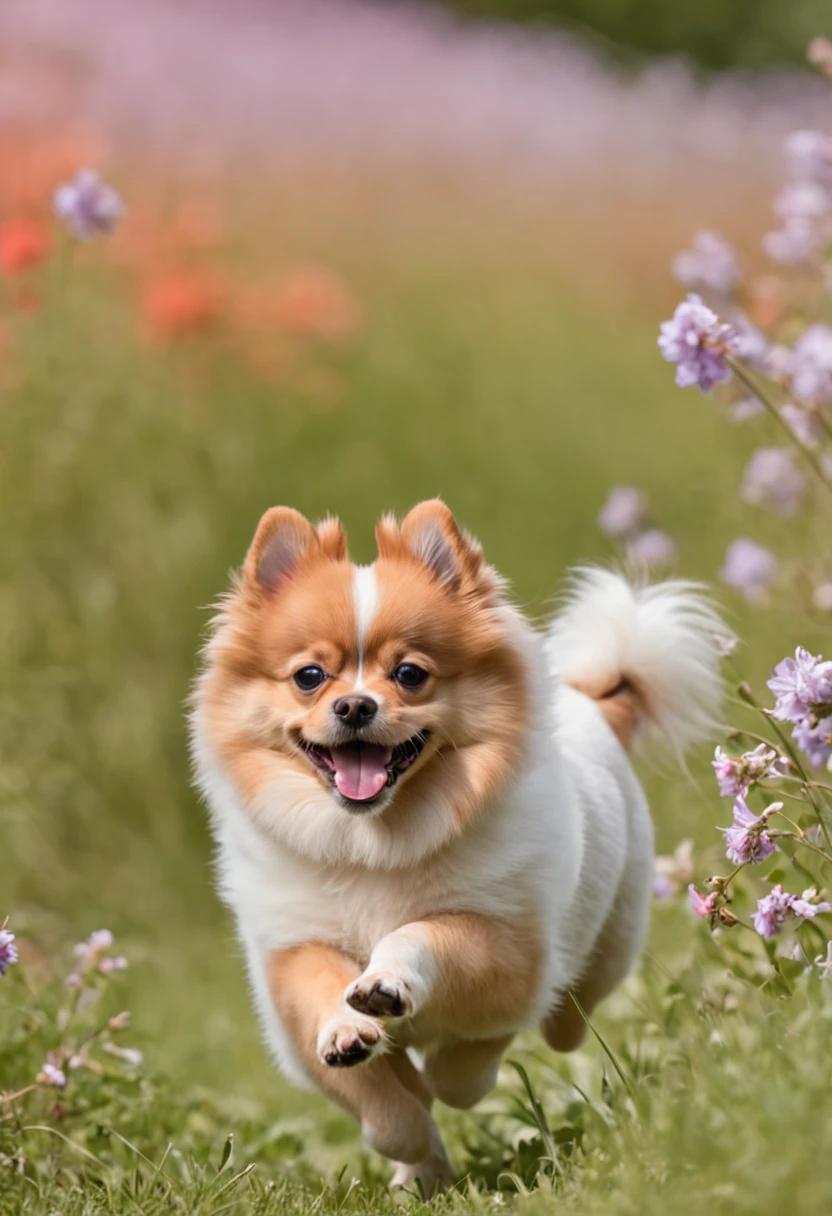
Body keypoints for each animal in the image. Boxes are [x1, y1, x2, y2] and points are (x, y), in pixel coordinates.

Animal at [192, 498, 724, 1191]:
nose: (354, 705)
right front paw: (364, 1054)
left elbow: (430, 946)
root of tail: (595, 701)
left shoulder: (508, 952)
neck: (375, 840)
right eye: (309, 676)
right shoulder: (292, 958)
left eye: (409, 674)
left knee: (566, 1018)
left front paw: (393, 993)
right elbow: (363, 1069)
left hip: (607, 946)